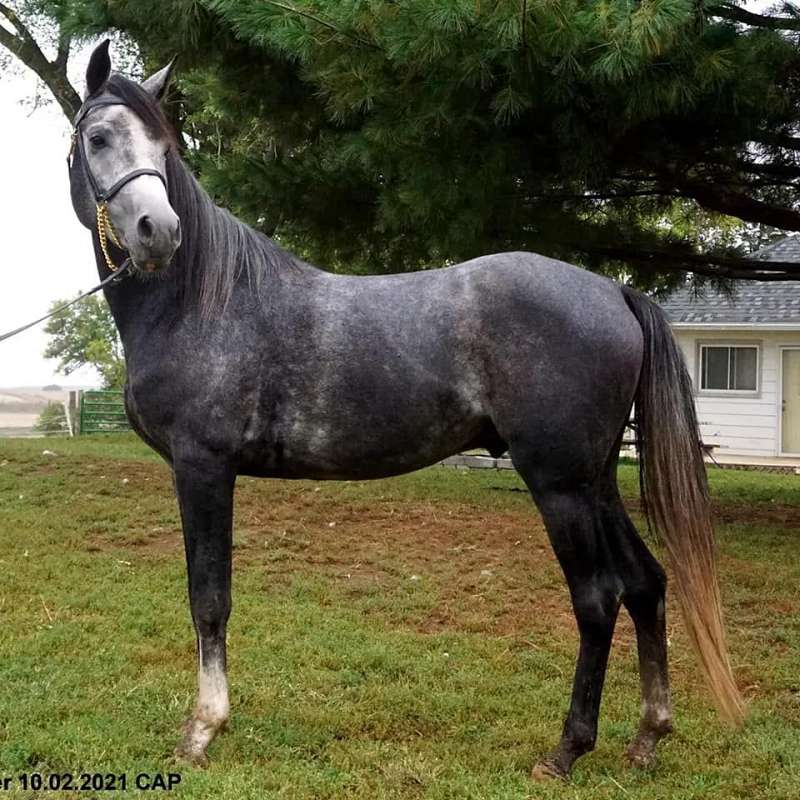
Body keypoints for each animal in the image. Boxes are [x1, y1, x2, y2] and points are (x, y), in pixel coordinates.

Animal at [66, 40, 744, 778]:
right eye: (99, 138)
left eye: (163, 147)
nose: (158, 232)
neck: (203, 301)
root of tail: (613, 291)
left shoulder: (203, 467)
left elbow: (209, 600)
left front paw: (202, 730)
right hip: (596, 481)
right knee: (646, 583)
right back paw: (648, 735)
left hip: (560, 484)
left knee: (597, 600)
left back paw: (566, 749)